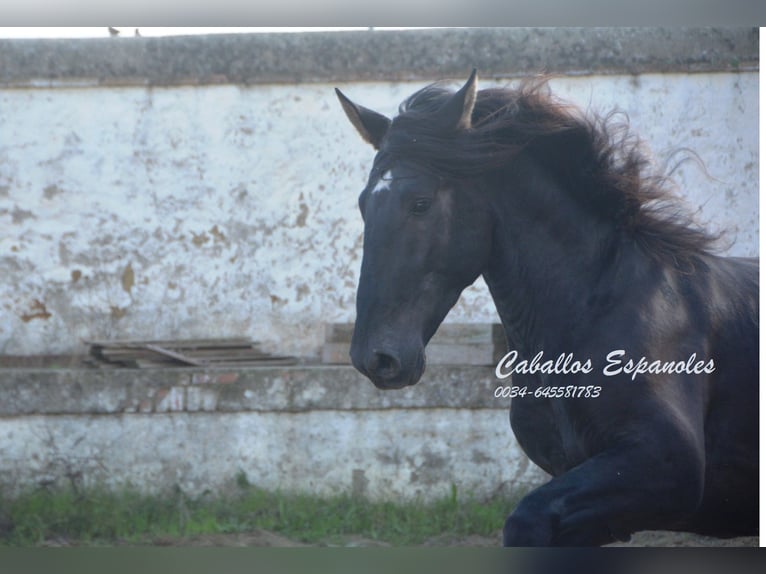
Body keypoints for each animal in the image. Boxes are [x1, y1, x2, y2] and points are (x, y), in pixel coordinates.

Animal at [340, 72, 760, 548]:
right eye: (363, 204)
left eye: (420, 203)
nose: (376, 358)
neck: (600, 305)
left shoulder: (666, 462)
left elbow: (524, 520)